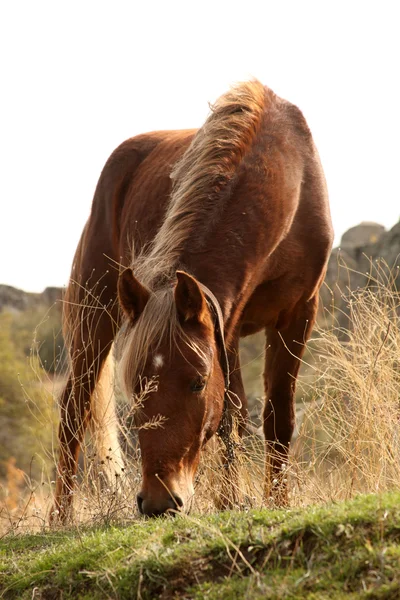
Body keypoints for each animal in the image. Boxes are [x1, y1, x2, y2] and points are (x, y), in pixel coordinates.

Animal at [54, 81, 334, 520]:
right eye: (135, 387)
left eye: (197, 383)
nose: (157, 501)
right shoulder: (226, 326)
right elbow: (232, 418)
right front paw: (231, 501)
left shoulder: (292, 314)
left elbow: (275, 418)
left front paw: (273, 501)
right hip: (94, 312)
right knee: (73, 409)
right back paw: (61, 517)